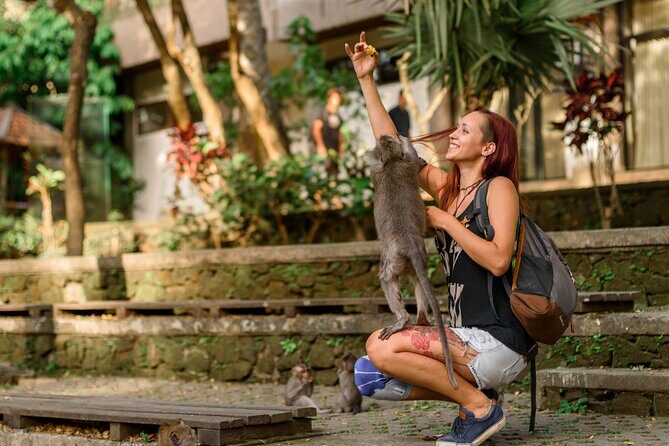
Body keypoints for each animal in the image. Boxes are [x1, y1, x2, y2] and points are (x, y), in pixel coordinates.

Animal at [364, 135, 458, 390]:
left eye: (384, 141)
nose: (385, 137)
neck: (391, 162)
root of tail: (407, 241)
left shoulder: (378, 170)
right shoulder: (403, 165)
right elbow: (413, 161)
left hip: (391, 257)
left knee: (387, 279)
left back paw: (403, 318)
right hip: (418, 256)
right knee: (418, 280)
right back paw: (422, 318)